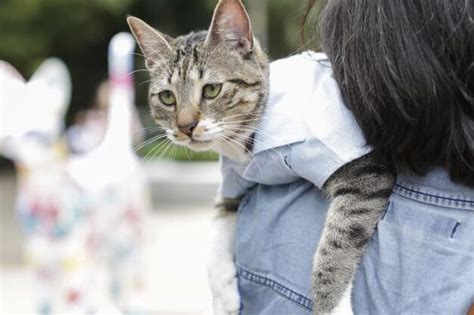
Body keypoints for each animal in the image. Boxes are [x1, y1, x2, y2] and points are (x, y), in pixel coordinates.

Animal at [128, 1, 394, 314]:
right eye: (167, 97)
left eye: (212, 89)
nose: (185, 127)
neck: (246, 143)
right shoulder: (233, 182)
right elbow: (218, 221)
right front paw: (223, 294)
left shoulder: (364, 168)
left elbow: (339, 241)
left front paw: (331, 305)